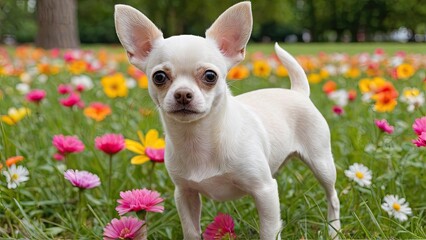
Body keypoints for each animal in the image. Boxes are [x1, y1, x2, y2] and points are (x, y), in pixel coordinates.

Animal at [115, 1, 342, 238]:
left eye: (210, 76)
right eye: (159, 77)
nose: (183, 94)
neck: (198, 138)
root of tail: (298, 92)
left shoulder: (265, 190)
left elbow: (269, 230)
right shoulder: (185, 193)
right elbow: (191, 231)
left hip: (321, 163)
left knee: (333, 197)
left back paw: (334, 230)